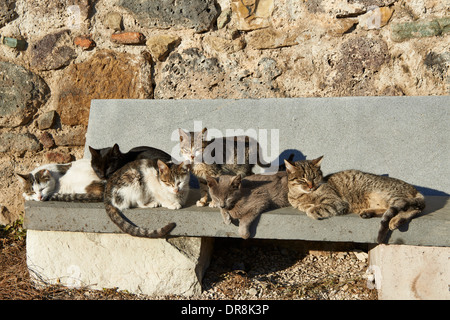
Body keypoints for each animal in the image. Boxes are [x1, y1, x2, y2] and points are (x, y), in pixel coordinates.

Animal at [284, 156, 426, 244]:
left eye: (314, 177)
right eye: (302, 179)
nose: (310, 186)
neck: (301, 195)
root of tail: (414, 188)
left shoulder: (338, 202)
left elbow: (315, 209)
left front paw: (313, 209)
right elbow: (304, 206)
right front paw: (308, 205)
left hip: (390, 195)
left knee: (413, 209)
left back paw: (395, 220)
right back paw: (368, 213)